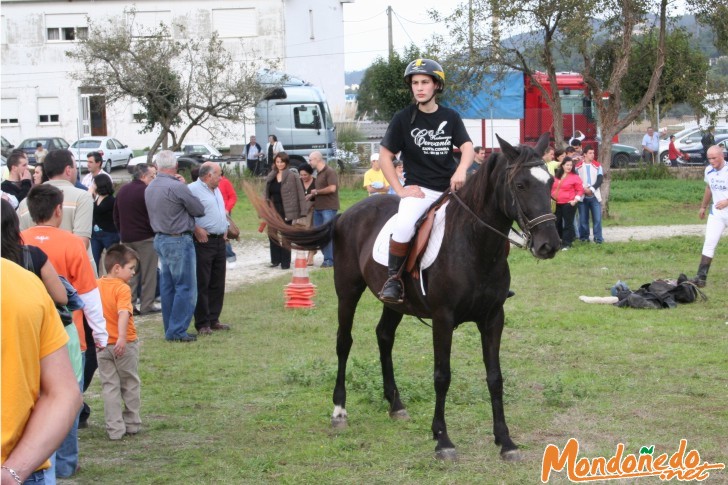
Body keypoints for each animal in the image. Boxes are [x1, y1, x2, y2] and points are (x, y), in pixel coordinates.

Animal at [247, 132, 560, 458]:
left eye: (550, 182)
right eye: (521, 185)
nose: (549, 244)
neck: (474, 243)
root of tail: (346, 214)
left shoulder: (493, 317)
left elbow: (495, 377)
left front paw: (505, 441)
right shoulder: (443, 319)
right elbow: (442, 376)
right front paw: (442, 439)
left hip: (394, 303)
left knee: (384, 336)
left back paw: (395, 404)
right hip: (347, 292)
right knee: (344, 343)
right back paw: (339, 410)